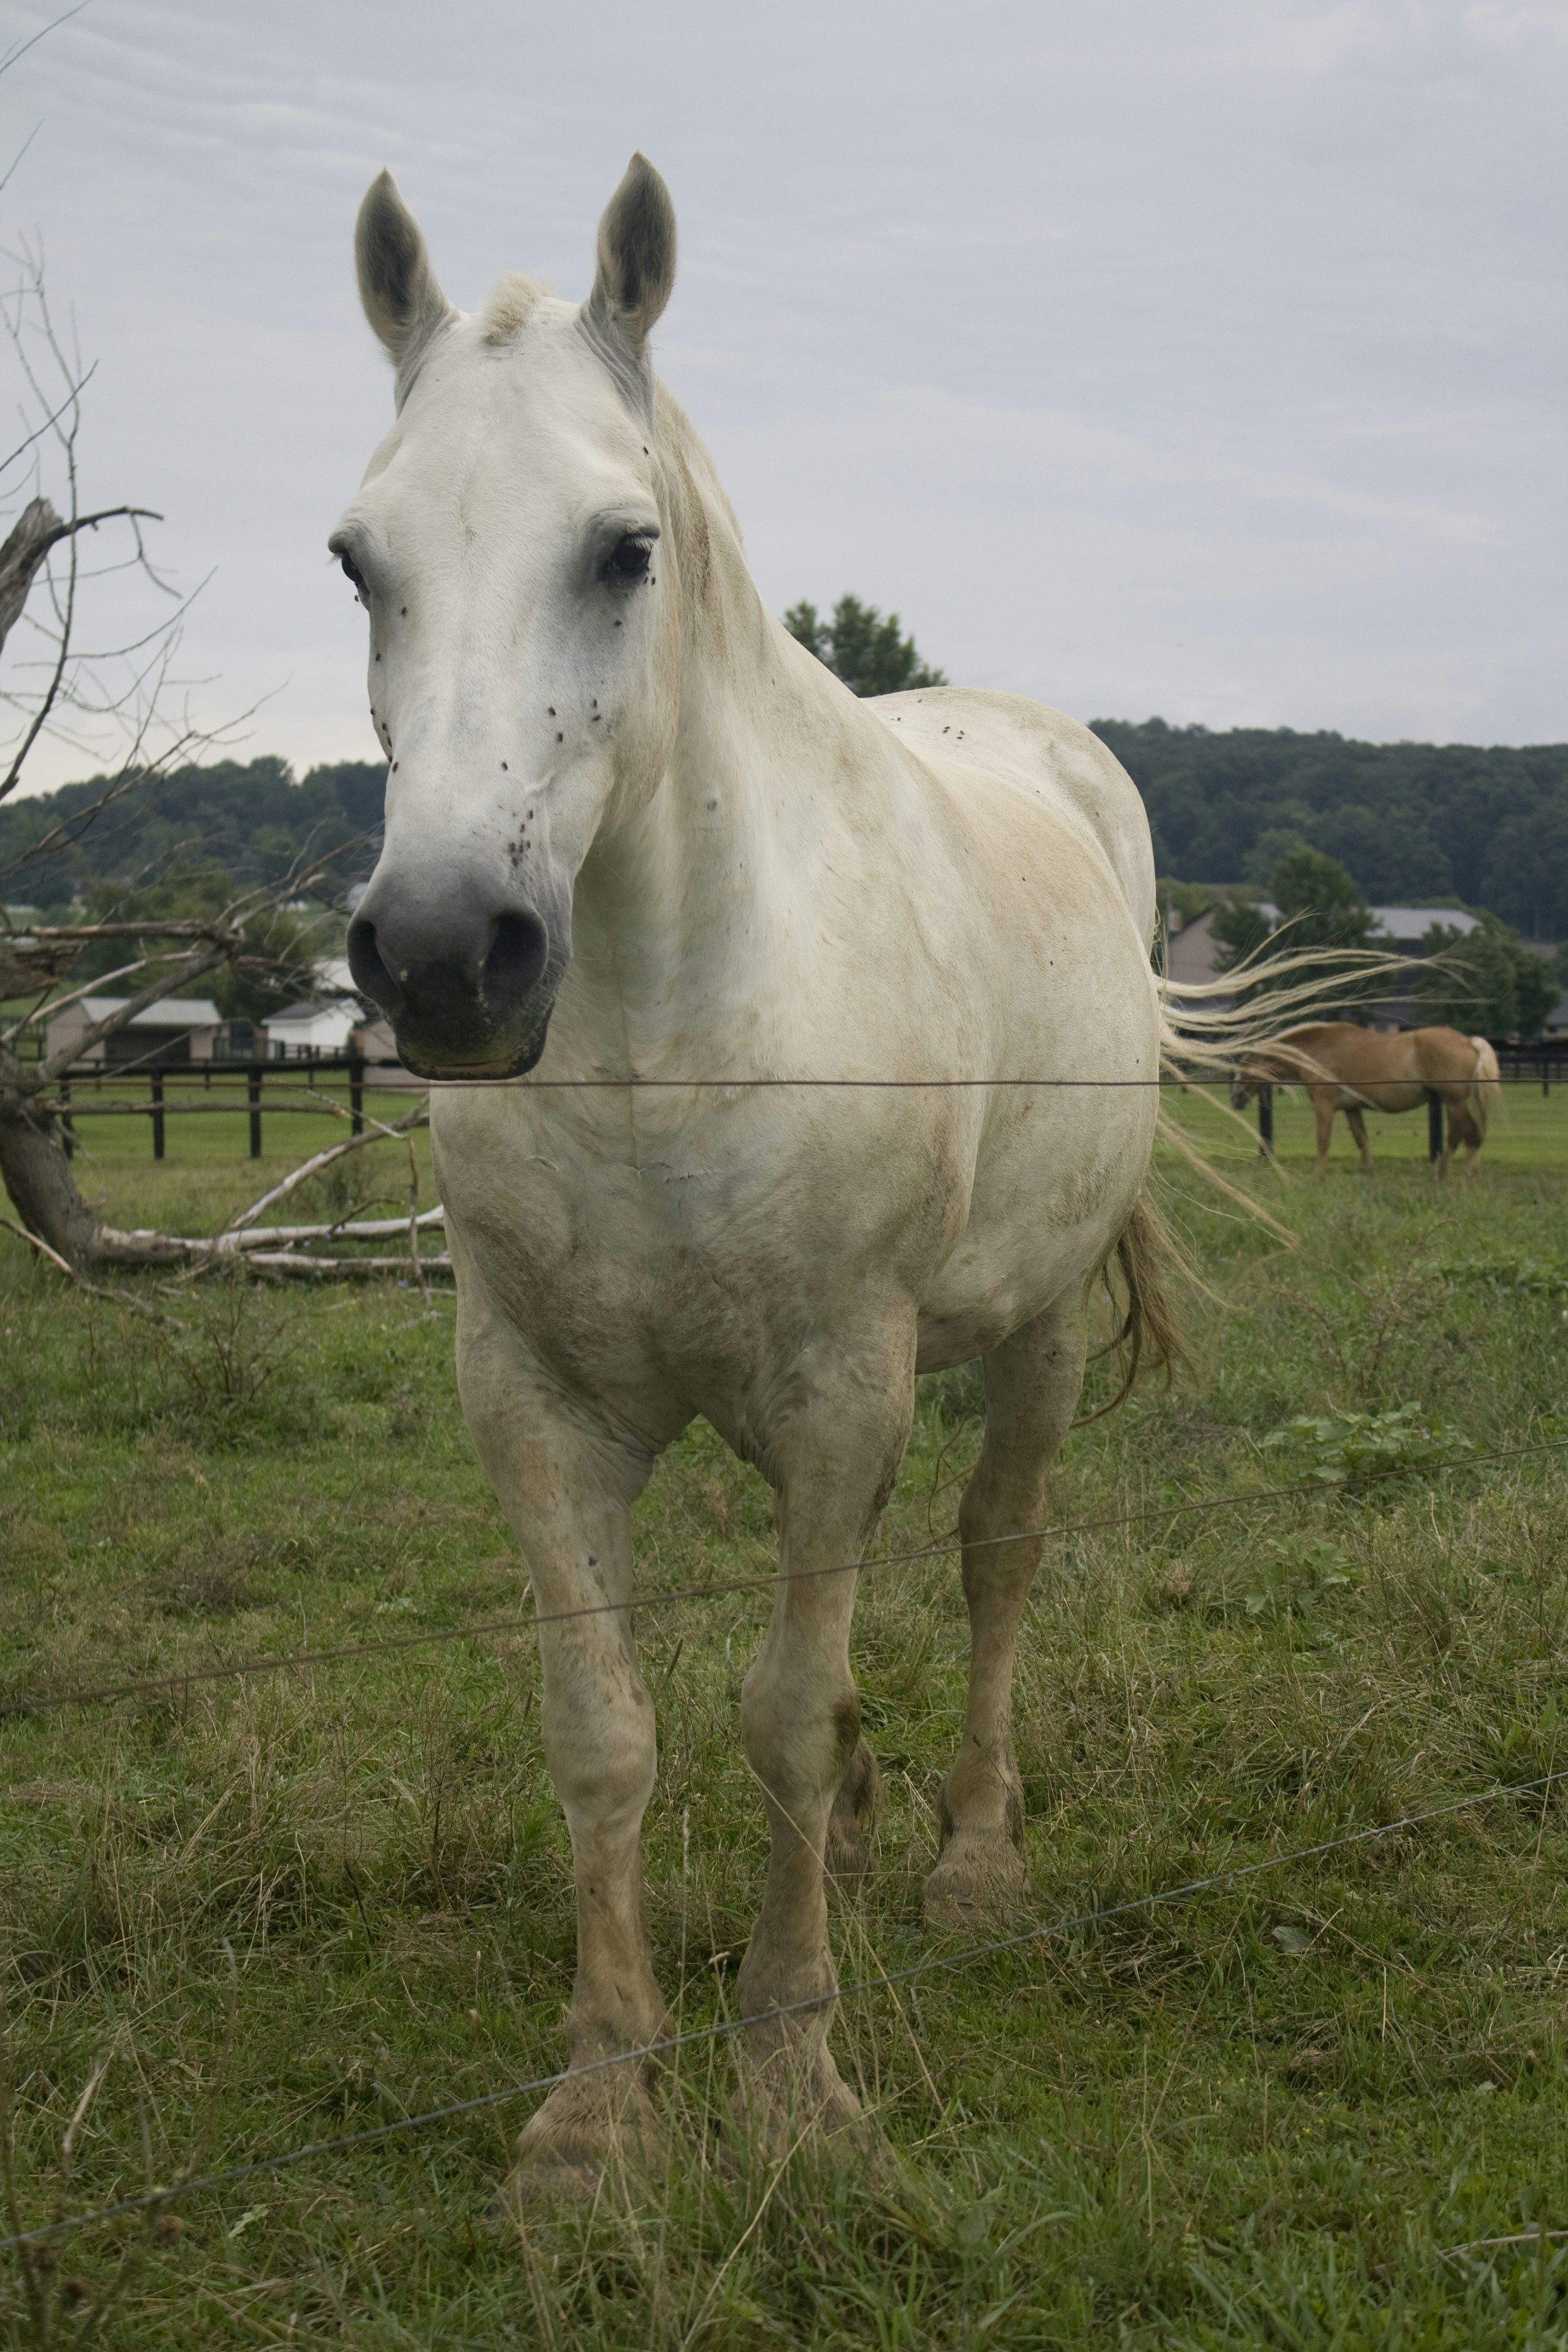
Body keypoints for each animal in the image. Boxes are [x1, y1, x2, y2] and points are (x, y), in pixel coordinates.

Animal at [335, 154, 1177, 2201]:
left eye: (623, 549)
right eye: (357, 561)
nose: (446, 956)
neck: (676, 1027)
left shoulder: (840, 1382)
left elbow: (783, 1715)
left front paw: (795, 2072)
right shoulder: (536, 1406)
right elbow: (607, 1733)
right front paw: (596, 2107)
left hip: (1028, 1333)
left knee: (995, 1555)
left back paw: (969, 1861)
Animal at [1230, 1021, 1500, 1175]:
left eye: (1246, 1067)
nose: (1235, 1099)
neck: (1317, 1049)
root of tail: (1468, 1041)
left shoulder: (1325, 1105)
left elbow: (1323, 1139)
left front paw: (1318, 1172)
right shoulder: (1351, 1109)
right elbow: (1361, 1139)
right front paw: (1367, 1170)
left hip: (1453, 1102)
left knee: (1461, 1133)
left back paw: (1448, 1169)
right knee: (1470, 1133)